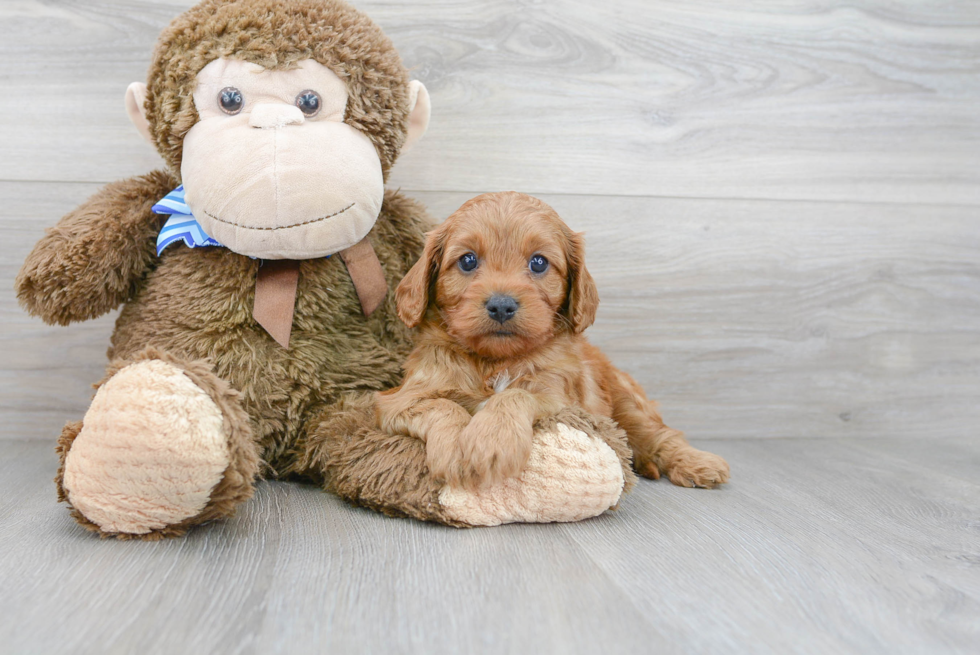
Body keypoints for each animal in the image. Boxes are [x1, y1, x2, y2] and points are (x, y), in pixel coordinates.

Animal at [378, 190, 732, 492]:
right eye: (467, 260)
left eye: (538, 262)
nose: (501, 305)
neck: (494, 361)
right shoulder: (398, 400)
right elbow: (443, 405)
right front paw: (454, 449)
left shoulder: (561, 399)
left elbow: (515, 395)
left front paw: (491, 441)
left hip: (629, 402)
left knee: (660, 436)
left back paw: (699, 463)